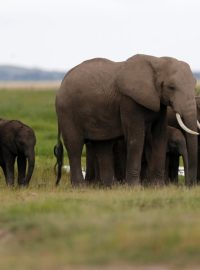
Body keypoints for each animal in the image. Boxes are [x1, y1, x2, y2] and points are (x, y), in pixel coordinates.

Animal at [55, 53, 198, 187]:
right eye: (171, 87)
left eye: (194, 84)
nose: (189, 185)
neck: (157, 61)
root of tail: (61, 83)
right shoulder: (129, 101)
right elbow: (136, 137)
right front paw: (135, 187)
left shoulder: (160, 103)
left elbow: (160, 135)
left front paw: (158, 186)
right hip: (67, 112)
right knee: (75, 145)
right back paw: (81, 187)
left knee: (103, 145)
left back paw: (109, 186)